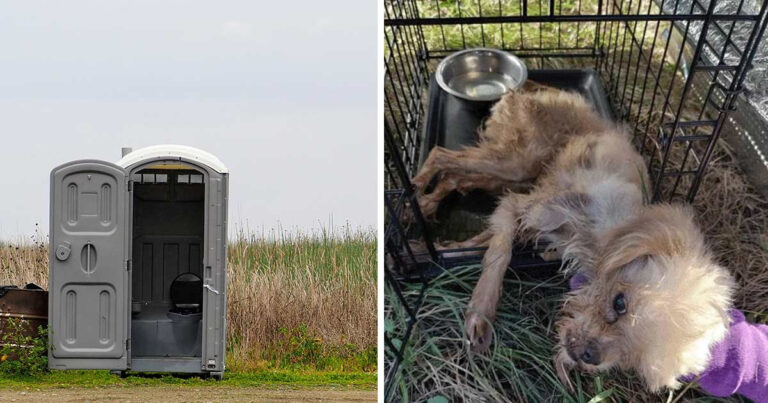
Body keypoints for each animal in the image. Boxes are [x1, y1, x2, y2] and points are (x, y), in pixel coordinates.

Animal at [412, 84, 736, 394]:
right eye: (620, 303)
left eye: (635, 360)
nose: (590, 356)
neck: (600, 233)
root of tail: (535, 88)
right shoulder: (525, 206)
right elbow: (498, 255)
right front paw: (480, 312)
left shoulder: (524, 215)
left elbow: (484, 239)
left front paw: (440, 249)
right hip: (516, 162)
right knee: (441, 154)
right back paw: (415, 193)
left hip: (512, 175)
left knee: (455, 176)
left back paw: (425, 206)